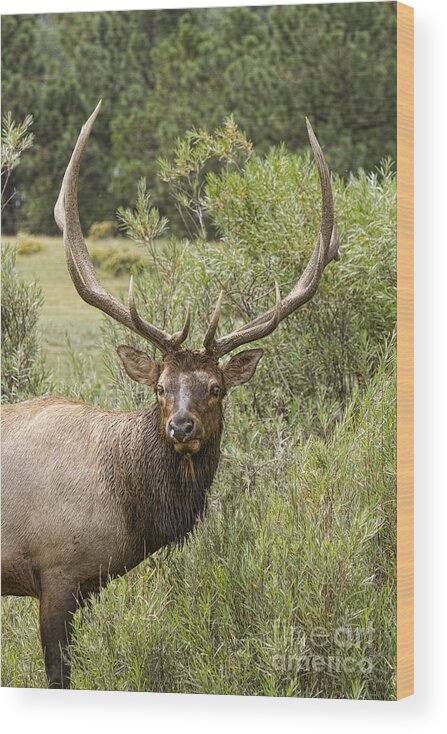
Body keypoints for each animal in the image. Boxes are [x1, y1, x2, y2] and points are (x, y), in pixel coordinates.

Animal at [0, 102, 340, 688]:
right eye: (160, 387)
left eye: (215, 388)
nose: (181, 426)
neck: (126, 508)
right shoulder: (55, 571)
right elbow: (58, 674)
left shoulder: (84, 585)